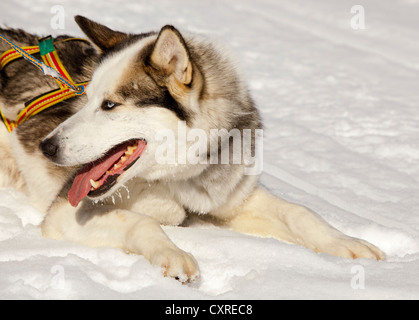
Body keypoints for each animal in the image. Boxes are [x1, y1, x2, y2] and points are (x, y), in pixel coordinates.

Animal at [0, 16, 386, 282]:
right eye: (87, 98)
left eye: (109, 105)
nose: (47, 147)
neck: (177, 176)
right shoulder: (65, 213)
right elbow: (140, 221)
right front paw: (172, 254)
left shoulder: (232, 199)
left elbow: (301, 212)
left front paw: (347, 243)